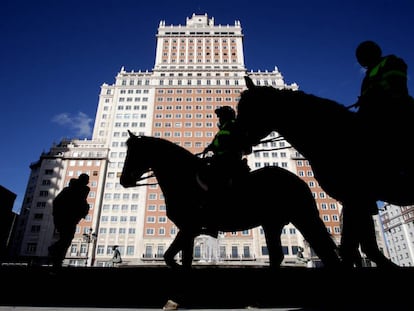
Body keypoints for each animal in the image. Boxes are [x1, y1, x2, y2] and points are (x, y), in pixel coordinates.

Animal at [119, 133, 340, 270]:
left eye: (134, 154)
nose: (123, 180)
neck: (185, 178)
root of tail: (296, 179)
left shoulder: (189, 227)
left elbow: (170, 257)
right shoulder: (188, 230)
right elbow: (181, 259)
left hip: (300, 218)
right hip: (273, 223)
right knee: (281, 255)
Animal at [236, 75, 414, 268]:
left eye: (248, 108)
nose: (233, 139)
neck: (331, 136)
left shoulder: (357, 197)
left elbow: (353, 247)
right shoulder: (356, 199)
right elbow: (359, 247)